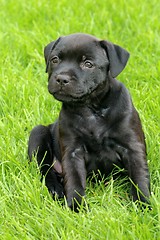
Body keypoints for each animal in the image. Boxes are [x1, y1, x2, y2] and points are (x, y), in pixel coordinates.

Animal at [28, 33, 150, 210]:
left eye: (88, 64)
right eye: (55, 59)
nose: (62, 79)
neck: (90, 109)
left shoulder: (132, 147)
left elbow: (139, 177)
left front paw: (143, 205)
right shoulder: (73, 152)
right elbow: (74, 181)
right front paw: (76, 207)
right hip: (37, 134)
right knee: (45, 169)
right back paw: (55, 189)